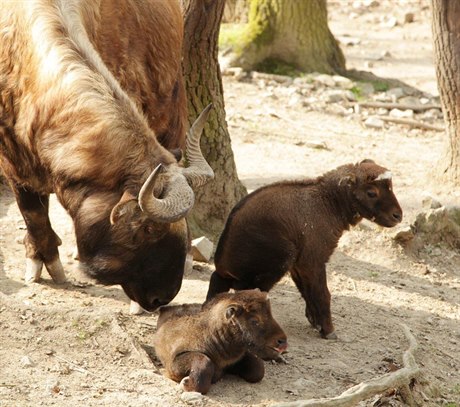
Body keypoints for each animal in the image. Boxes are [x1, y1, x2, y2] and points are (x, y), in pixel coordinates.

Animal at [153, 290, 286, 396]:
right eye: (254, 320)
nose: (282, 341)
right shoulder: (176, 360)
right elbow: (204, 363)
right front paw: (185, 383)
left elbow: (258, 369)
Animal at [206, 161, 402, 340]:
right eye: (371, 192)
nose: (398, 216)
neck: (329, 202)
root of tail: (224, 262)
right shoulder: (313, 260)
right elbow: (322, 293)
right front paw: (329, 330)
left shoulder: (300, 264)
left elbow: (307, 291)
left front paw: (316, 322)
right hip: (281, 258)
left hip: (235, 274)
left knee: (217, 282)